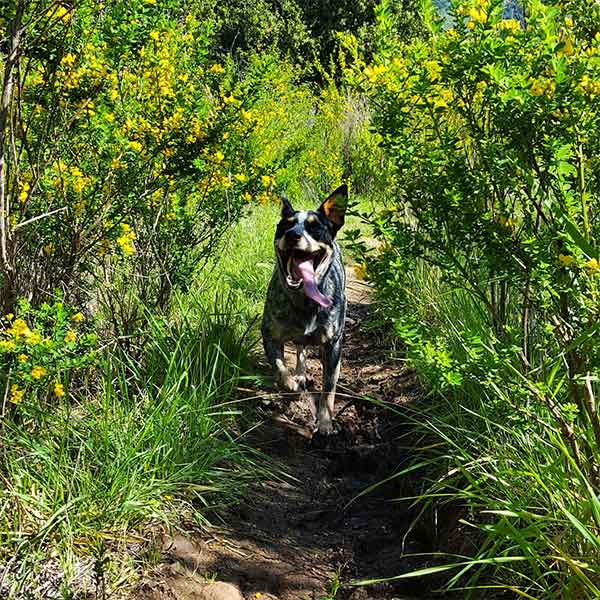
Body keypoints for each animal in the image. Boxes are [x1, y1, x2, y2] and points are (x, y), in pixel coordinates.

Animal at [262, 185, 350, 434]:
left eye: (315, 228)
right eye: (285, 225)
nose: (293, 235)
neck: (305, 302)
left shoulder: (333, 345)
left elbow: (329, 387)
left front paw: (325, 421)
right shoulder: (269, 334)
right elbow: (279, 367)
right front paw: (290, 383)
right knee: (300, 348)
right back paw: (299, 373)